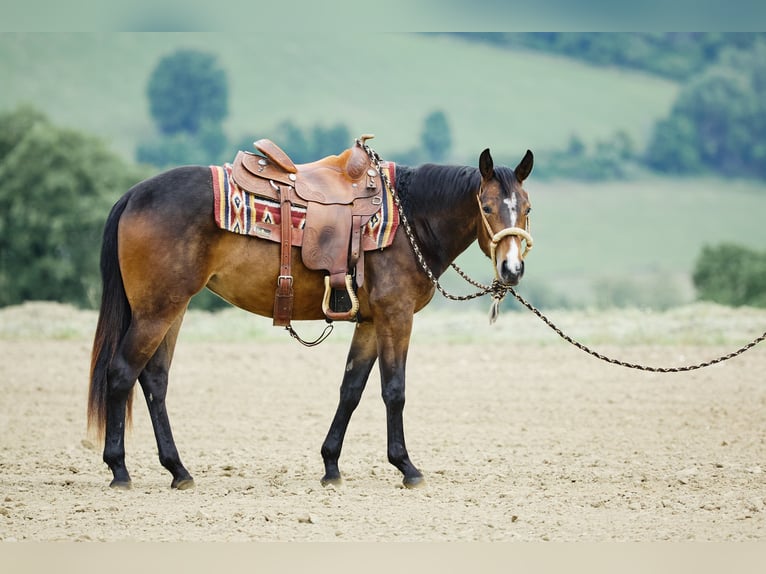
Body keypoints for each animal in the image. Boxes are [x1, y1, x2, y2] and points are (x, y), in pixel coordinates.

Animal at [88, 145, 536, 490]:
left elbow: (351, 390)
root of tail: (133, 195)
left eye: (527, 208)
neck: (410, 218)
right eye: (487, 207)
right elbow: (394, 390)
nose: (513, 269)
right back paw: (119, 469)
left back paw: (178, 470)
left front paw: (331, 465)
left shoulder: (370, 323)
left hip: (171, 309)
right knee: (122, 373)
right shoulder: (396, 316)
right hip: (157, 310)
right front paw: (407, 467)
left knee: (154, 380)